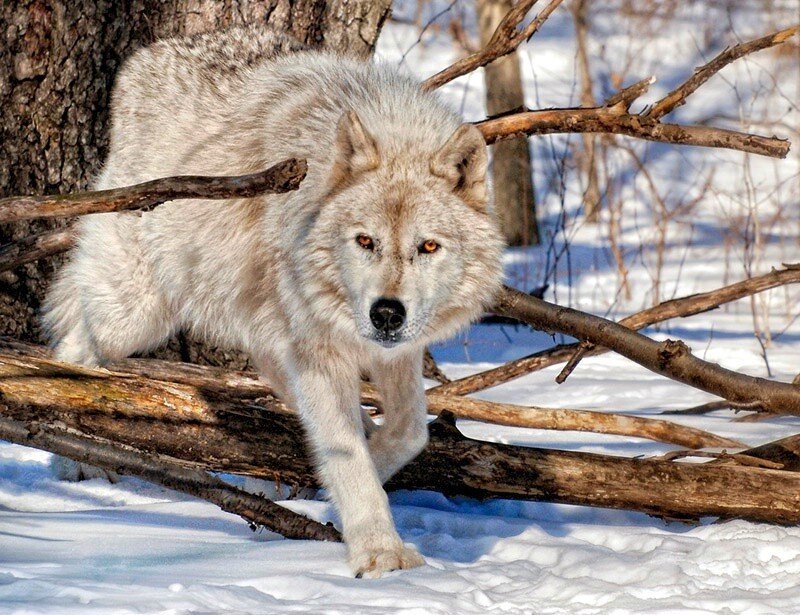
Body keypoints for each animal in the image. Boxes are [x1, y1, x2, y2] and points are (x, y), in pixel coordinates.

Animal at [43, 25, 505, 578]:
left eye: (428, 247)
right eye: (365, 241)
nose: (386, 314)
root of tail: (144, 58)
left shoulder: (395, 352)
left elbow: (410, 432)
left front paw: (350, 474)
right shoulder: (323, 352)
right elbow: (349, 454)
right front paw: (379, 552)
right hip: (134, 315)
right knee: (72, 352)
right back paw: (72, 455)